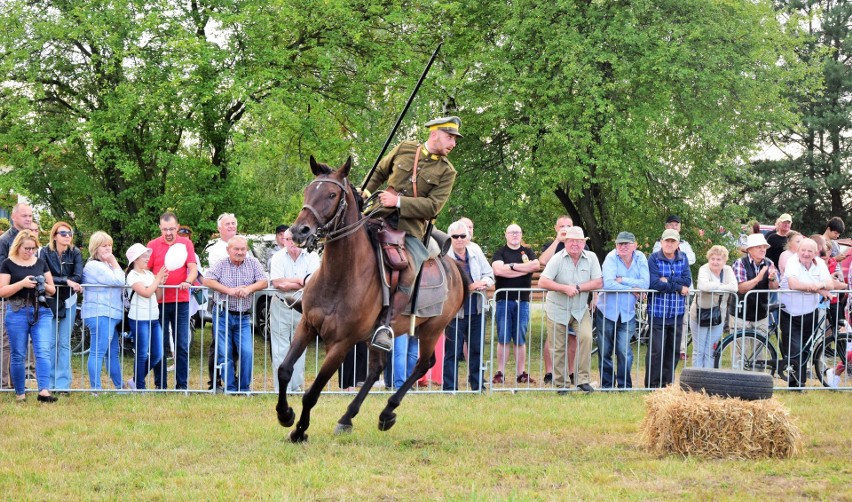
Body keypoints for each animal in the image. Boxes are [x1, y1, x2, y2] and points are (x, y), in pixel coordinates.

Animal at [276, 155, 470, 442]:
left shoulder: (342, 343)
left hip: (432, 328)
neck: (340, 275)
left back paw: (387, 412)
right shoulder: (307, 325)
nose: (299, 231)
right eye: (308, 191)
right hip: (375, 336)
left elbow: (313, 392)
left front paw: (299, 431)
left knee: (423, 364)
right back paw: (347, 418)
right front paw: (285, 414)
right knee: (377, 368)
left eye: (332, 194)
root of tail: (455, 266)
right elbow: (284, 370)